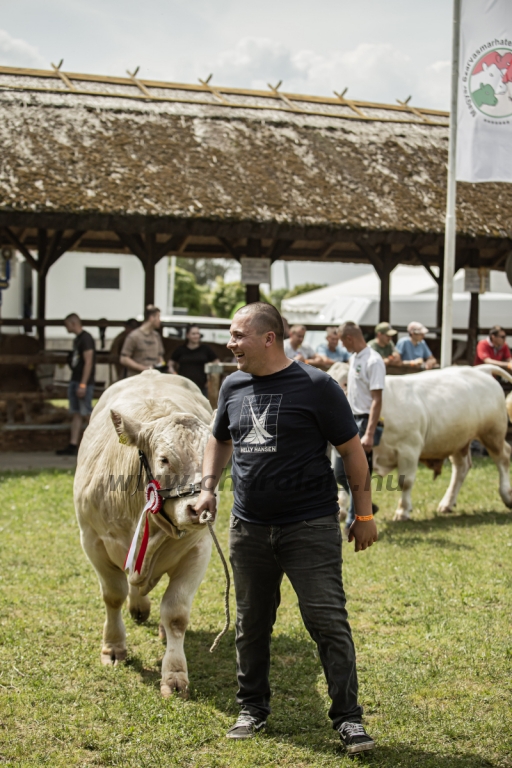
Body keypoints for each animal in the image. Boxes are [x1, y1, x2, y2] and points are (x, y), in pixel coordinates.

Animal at [74, 368, 214, 700]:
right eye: (164, 459)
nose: (198, 508)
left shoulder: (198, 549)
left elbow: (176, 613)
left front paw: (174, 675)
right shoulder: (93, 541)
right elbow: (113, 595)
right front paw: (113, 647)